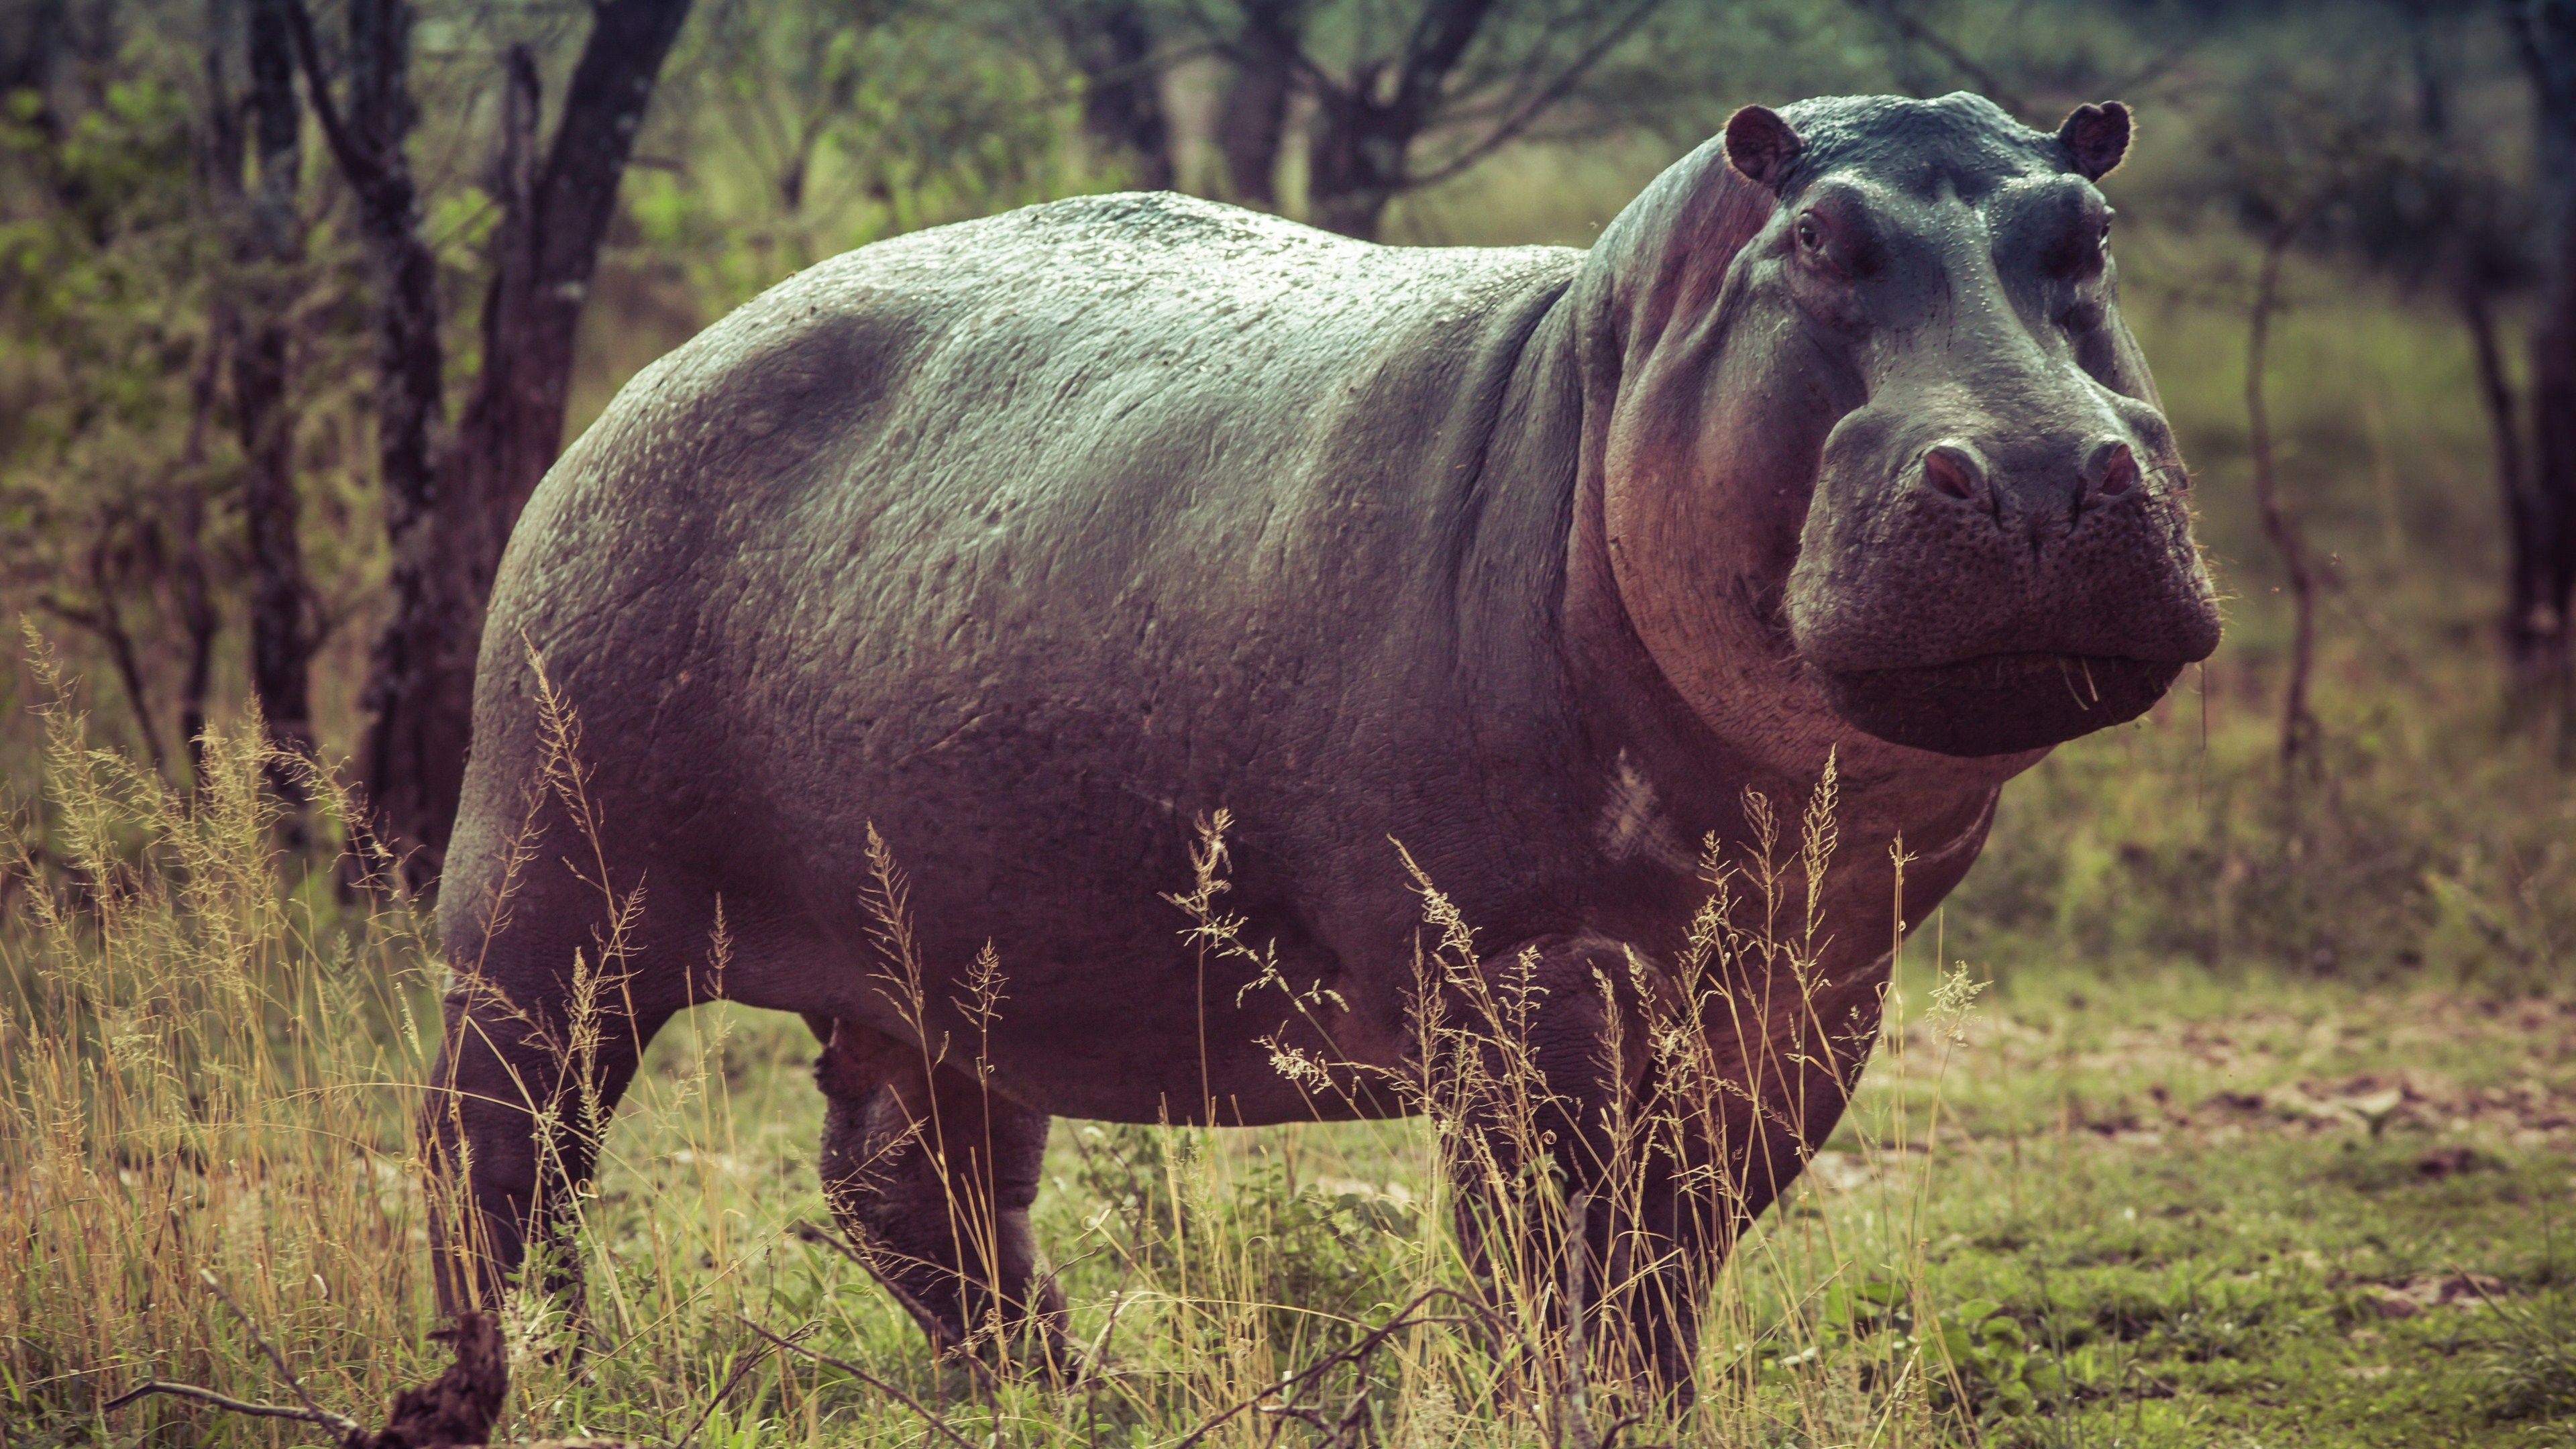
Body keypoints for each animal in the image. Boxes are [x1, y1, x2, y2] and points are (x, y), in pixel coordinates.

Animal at [428, 91, 2219, 1392]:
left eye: (2091, 236)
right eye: (1821, 239)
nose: (2040, 467)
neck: (1606, 370)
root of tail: (658, 370)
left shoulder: (1809, 997)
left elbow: (1665, 1272)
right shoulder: (1524, 986)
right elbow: (1550, 1270)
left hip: (937, 962)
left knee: (914, 1189)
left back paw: (1072, 1395)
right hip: (547, 895)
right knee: (496, 1157)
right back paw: (513, 1380)